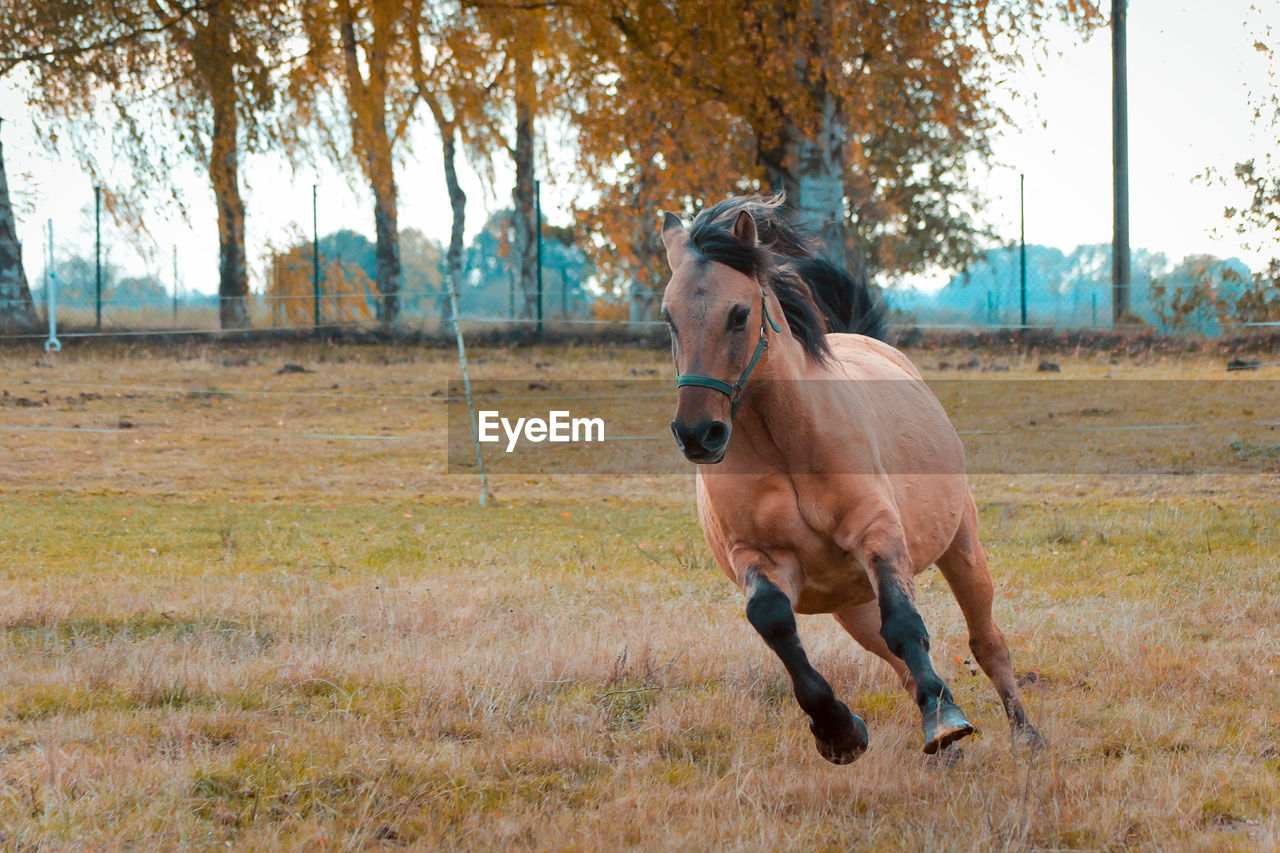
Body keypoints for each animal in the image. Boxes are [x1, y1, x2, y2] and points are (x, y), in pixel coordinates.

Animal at [660, 195, 1039, 758]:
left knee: (986, 640)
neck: (784, 448)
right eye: (669, 319)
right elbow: (775, 624)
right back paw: (944, 752)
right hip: (852, 604)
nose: (697, 434)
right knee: (899, 664)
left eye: (739, 314)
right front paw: (838, 731)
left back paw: (1024, 736)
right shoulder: (758, 557)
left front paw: (945, 717)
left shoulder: (876, 533)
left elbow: (906, 621)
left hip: (960, 547)